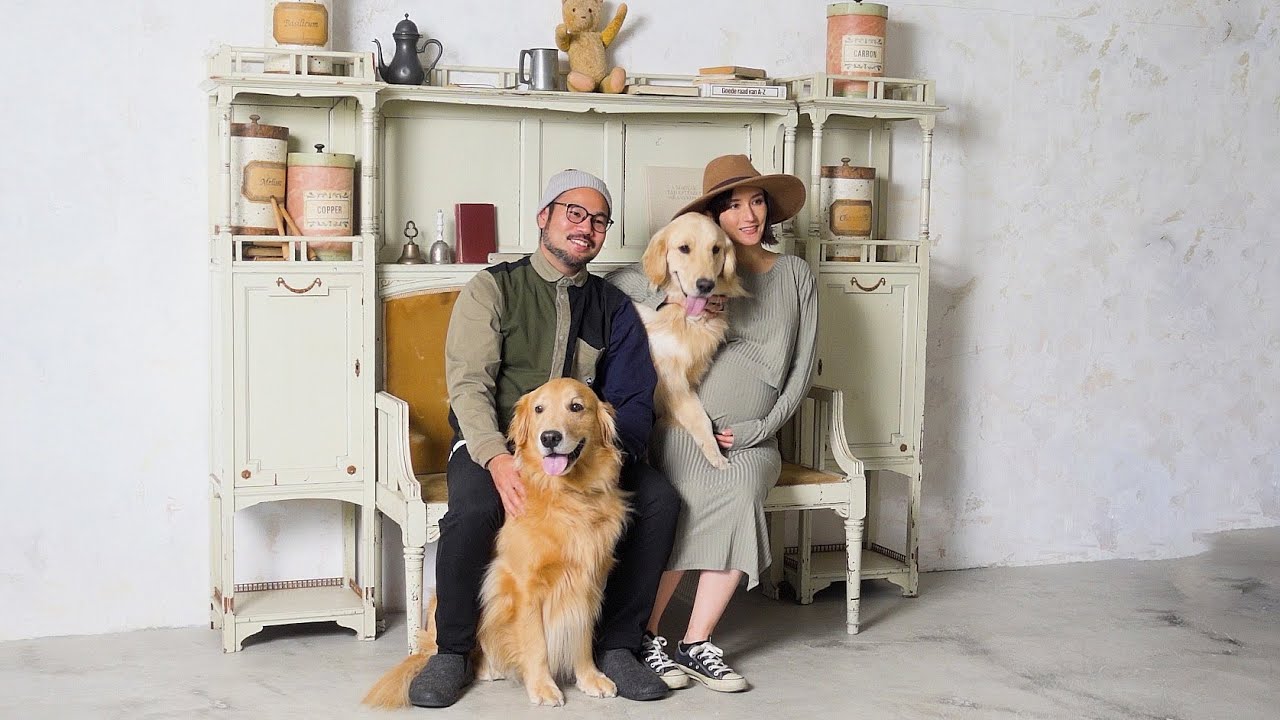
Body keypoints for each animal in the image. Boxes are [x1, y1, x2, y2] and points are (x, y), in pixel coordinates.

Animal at [363, 378, 628, 707]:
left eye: (576, 406)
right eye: (539, 409)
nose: (550, 437)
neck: (566, 497)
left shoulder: (588, 581)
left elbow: (582, 637)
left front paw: (589, 677)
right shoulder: (525, 585)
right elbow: (537, 643)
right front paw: (542, 686)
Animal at [637, 212, 746, 470]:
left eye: (716, 249)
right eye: (684, 248)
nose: (706, 285)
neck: (684, 318)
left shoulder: (683, 381)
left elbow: (701, 418)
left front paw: (716, 454)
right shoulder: (667, 378)